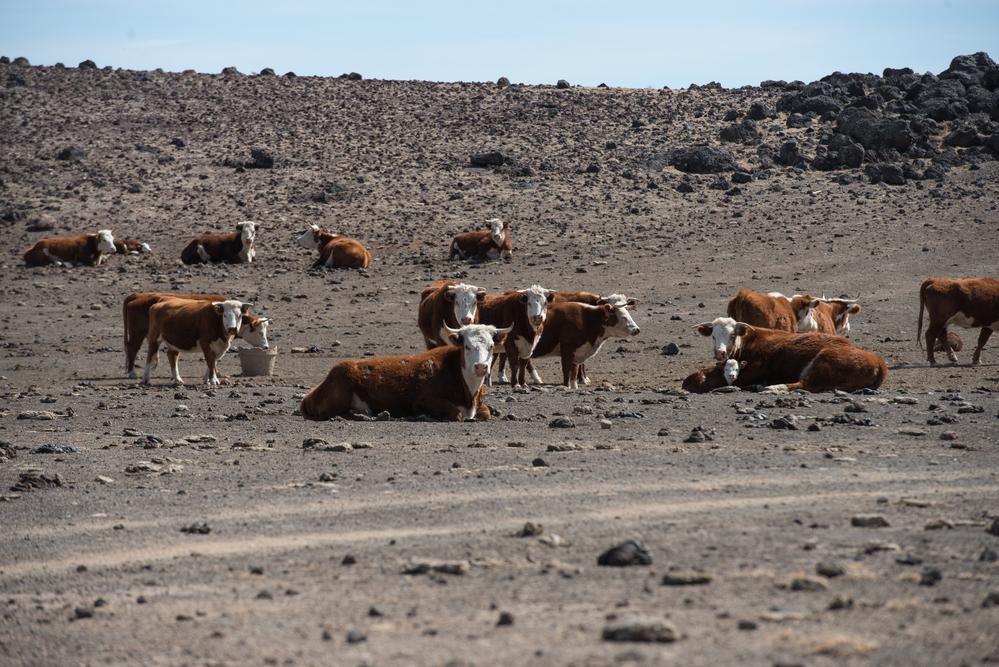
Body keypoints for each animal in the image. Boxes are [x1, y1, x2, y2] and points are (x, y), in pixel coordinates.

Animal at [123, 294, 272, 380]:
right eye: (260, 332)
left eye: (239, 315)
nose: (266, 347)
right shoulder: (206, 342)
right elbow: (210, 360)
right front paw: (213, 379)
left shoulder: (221, 345)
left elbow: (213, 360)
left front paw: (209, 378)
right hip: (145, 335)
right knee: (143, 352)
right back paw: (139, 376)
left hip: (172, 340)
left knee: (172, 355)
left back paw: (177, 379)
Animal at [298, 324, 512, 422]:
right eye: (467, 346)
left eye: (491, 346)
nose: (481, 367)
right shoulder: (425, 399)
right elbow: (455, 413)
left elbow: (485, 412)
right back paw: (360, 414)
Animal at [696, 318, 892, 394]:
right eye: (713, 336)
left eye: (732, 335)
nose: (720, 353)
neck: (749, 342)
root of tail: (878, 361)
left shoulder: (754, 370)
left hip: (825, 363)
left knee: (805, 384)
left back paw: (771, 387)